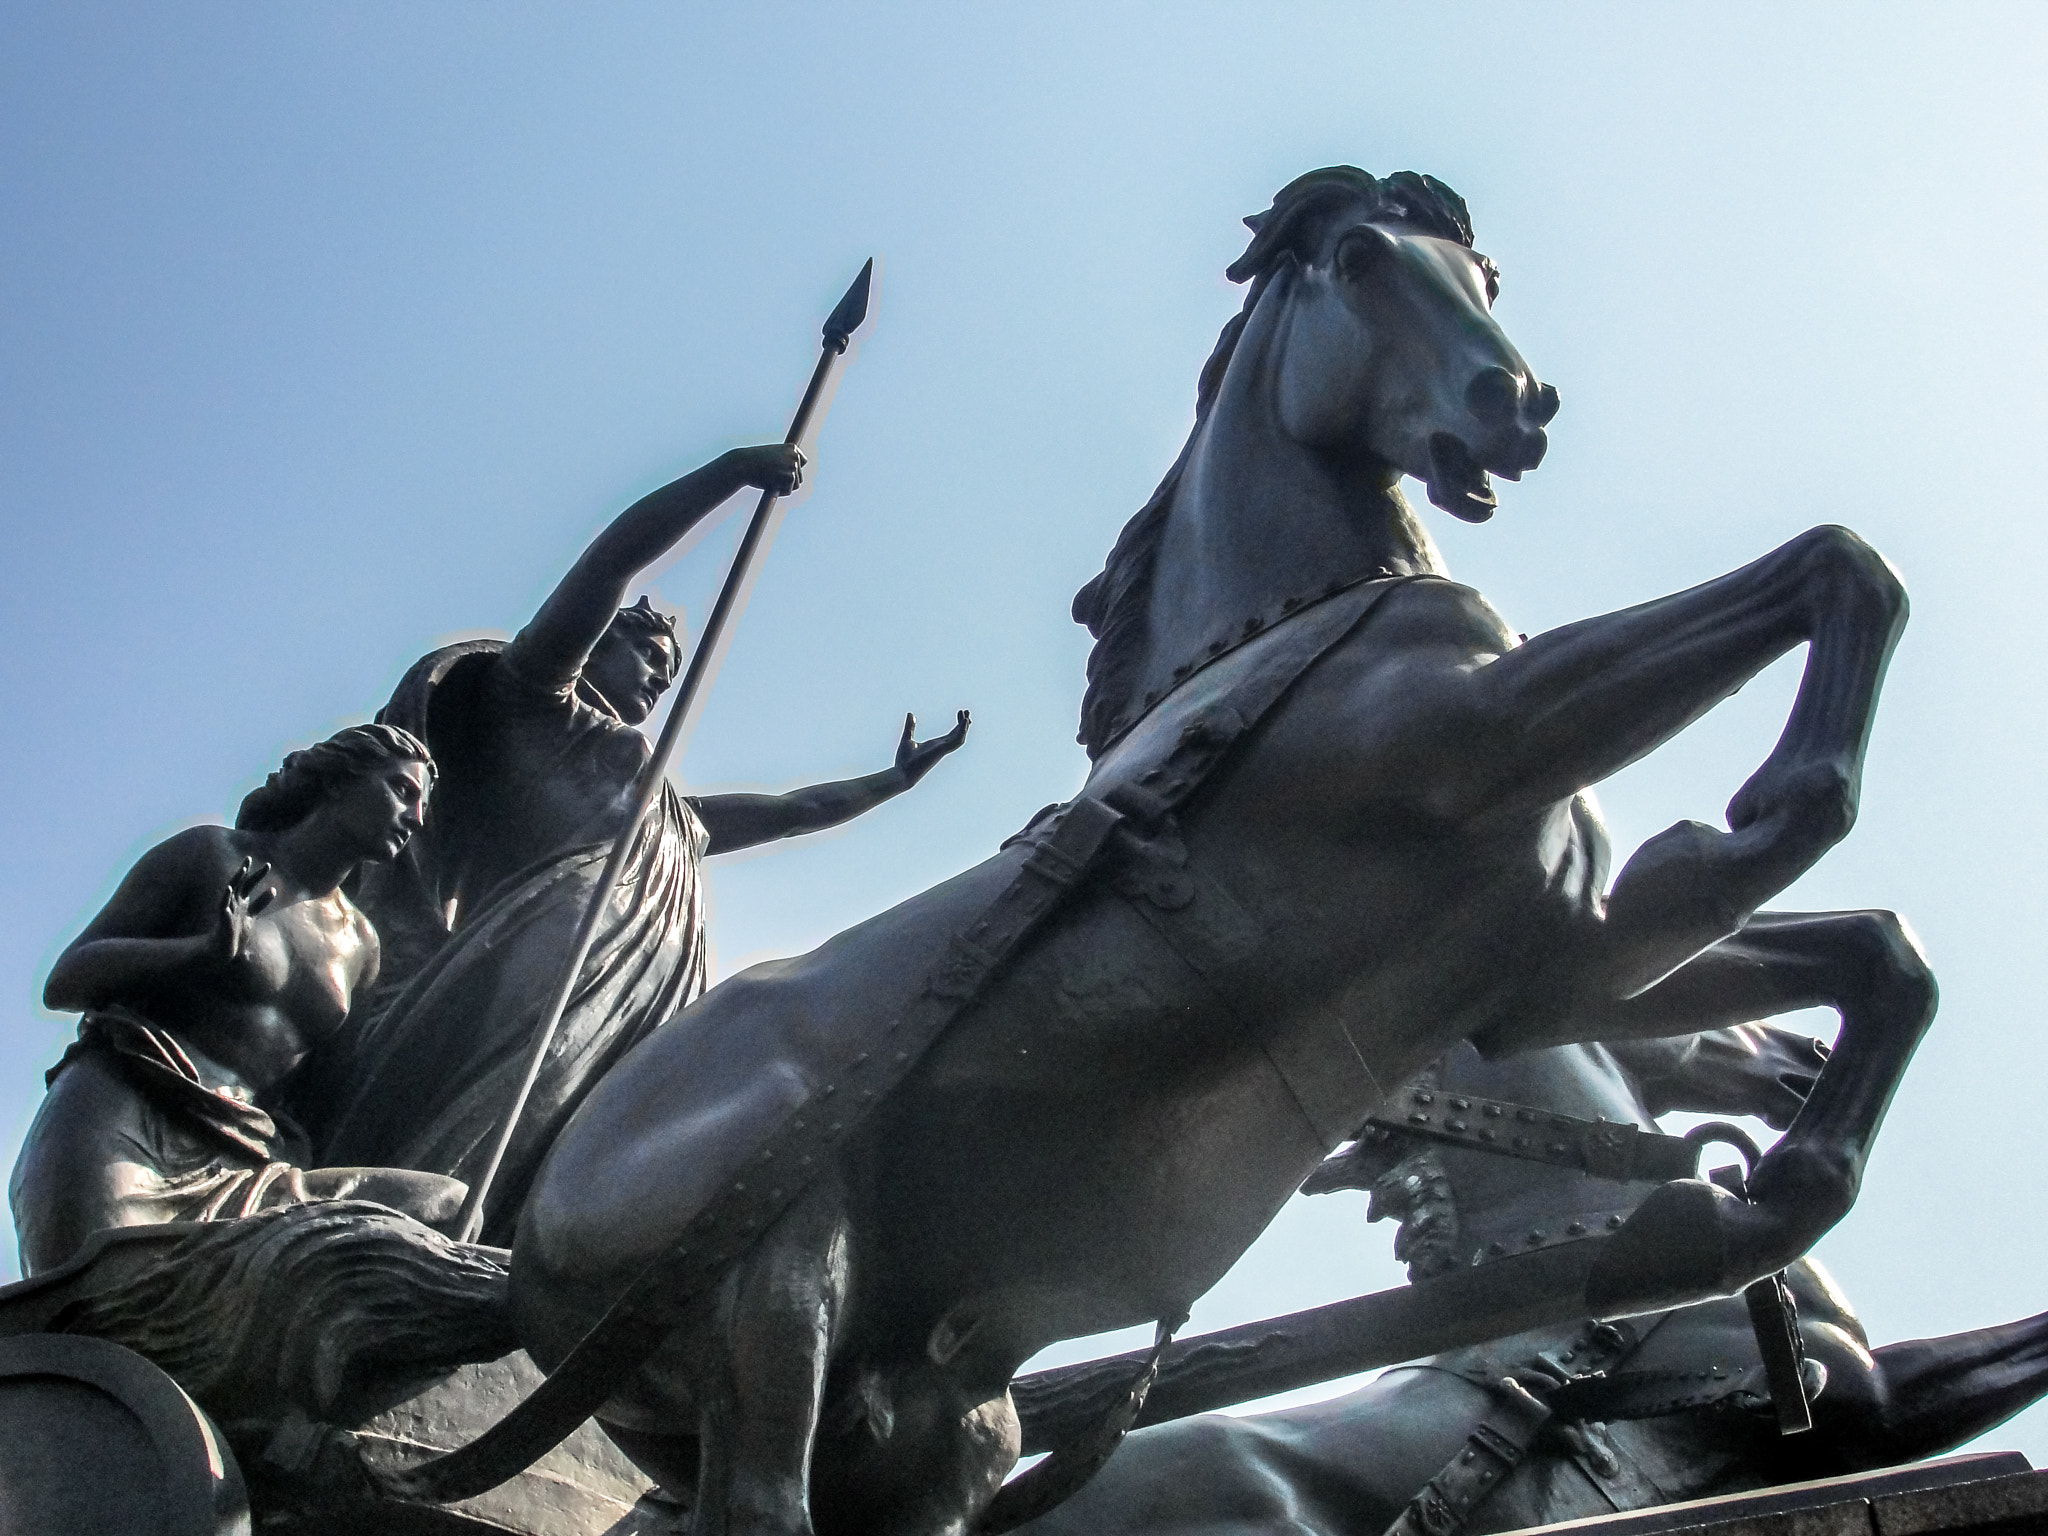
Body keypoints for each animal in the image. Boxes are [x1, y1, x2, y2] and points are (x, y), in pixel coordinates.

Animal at [423, 167, 1925, 1536]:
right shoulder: (1484, 736)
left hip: (926, 1424)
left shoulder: (1553, 959)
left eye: (1486, 274)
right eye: (1364, 259)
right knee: (759, 1502)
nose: (1517, 405)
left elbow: (1872, 948)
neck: (1288, 636)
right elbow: (1825, 577)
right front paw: (1761, 810)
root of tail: (530, 1225)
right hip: (770, 1305)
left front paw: (1775, 1174)